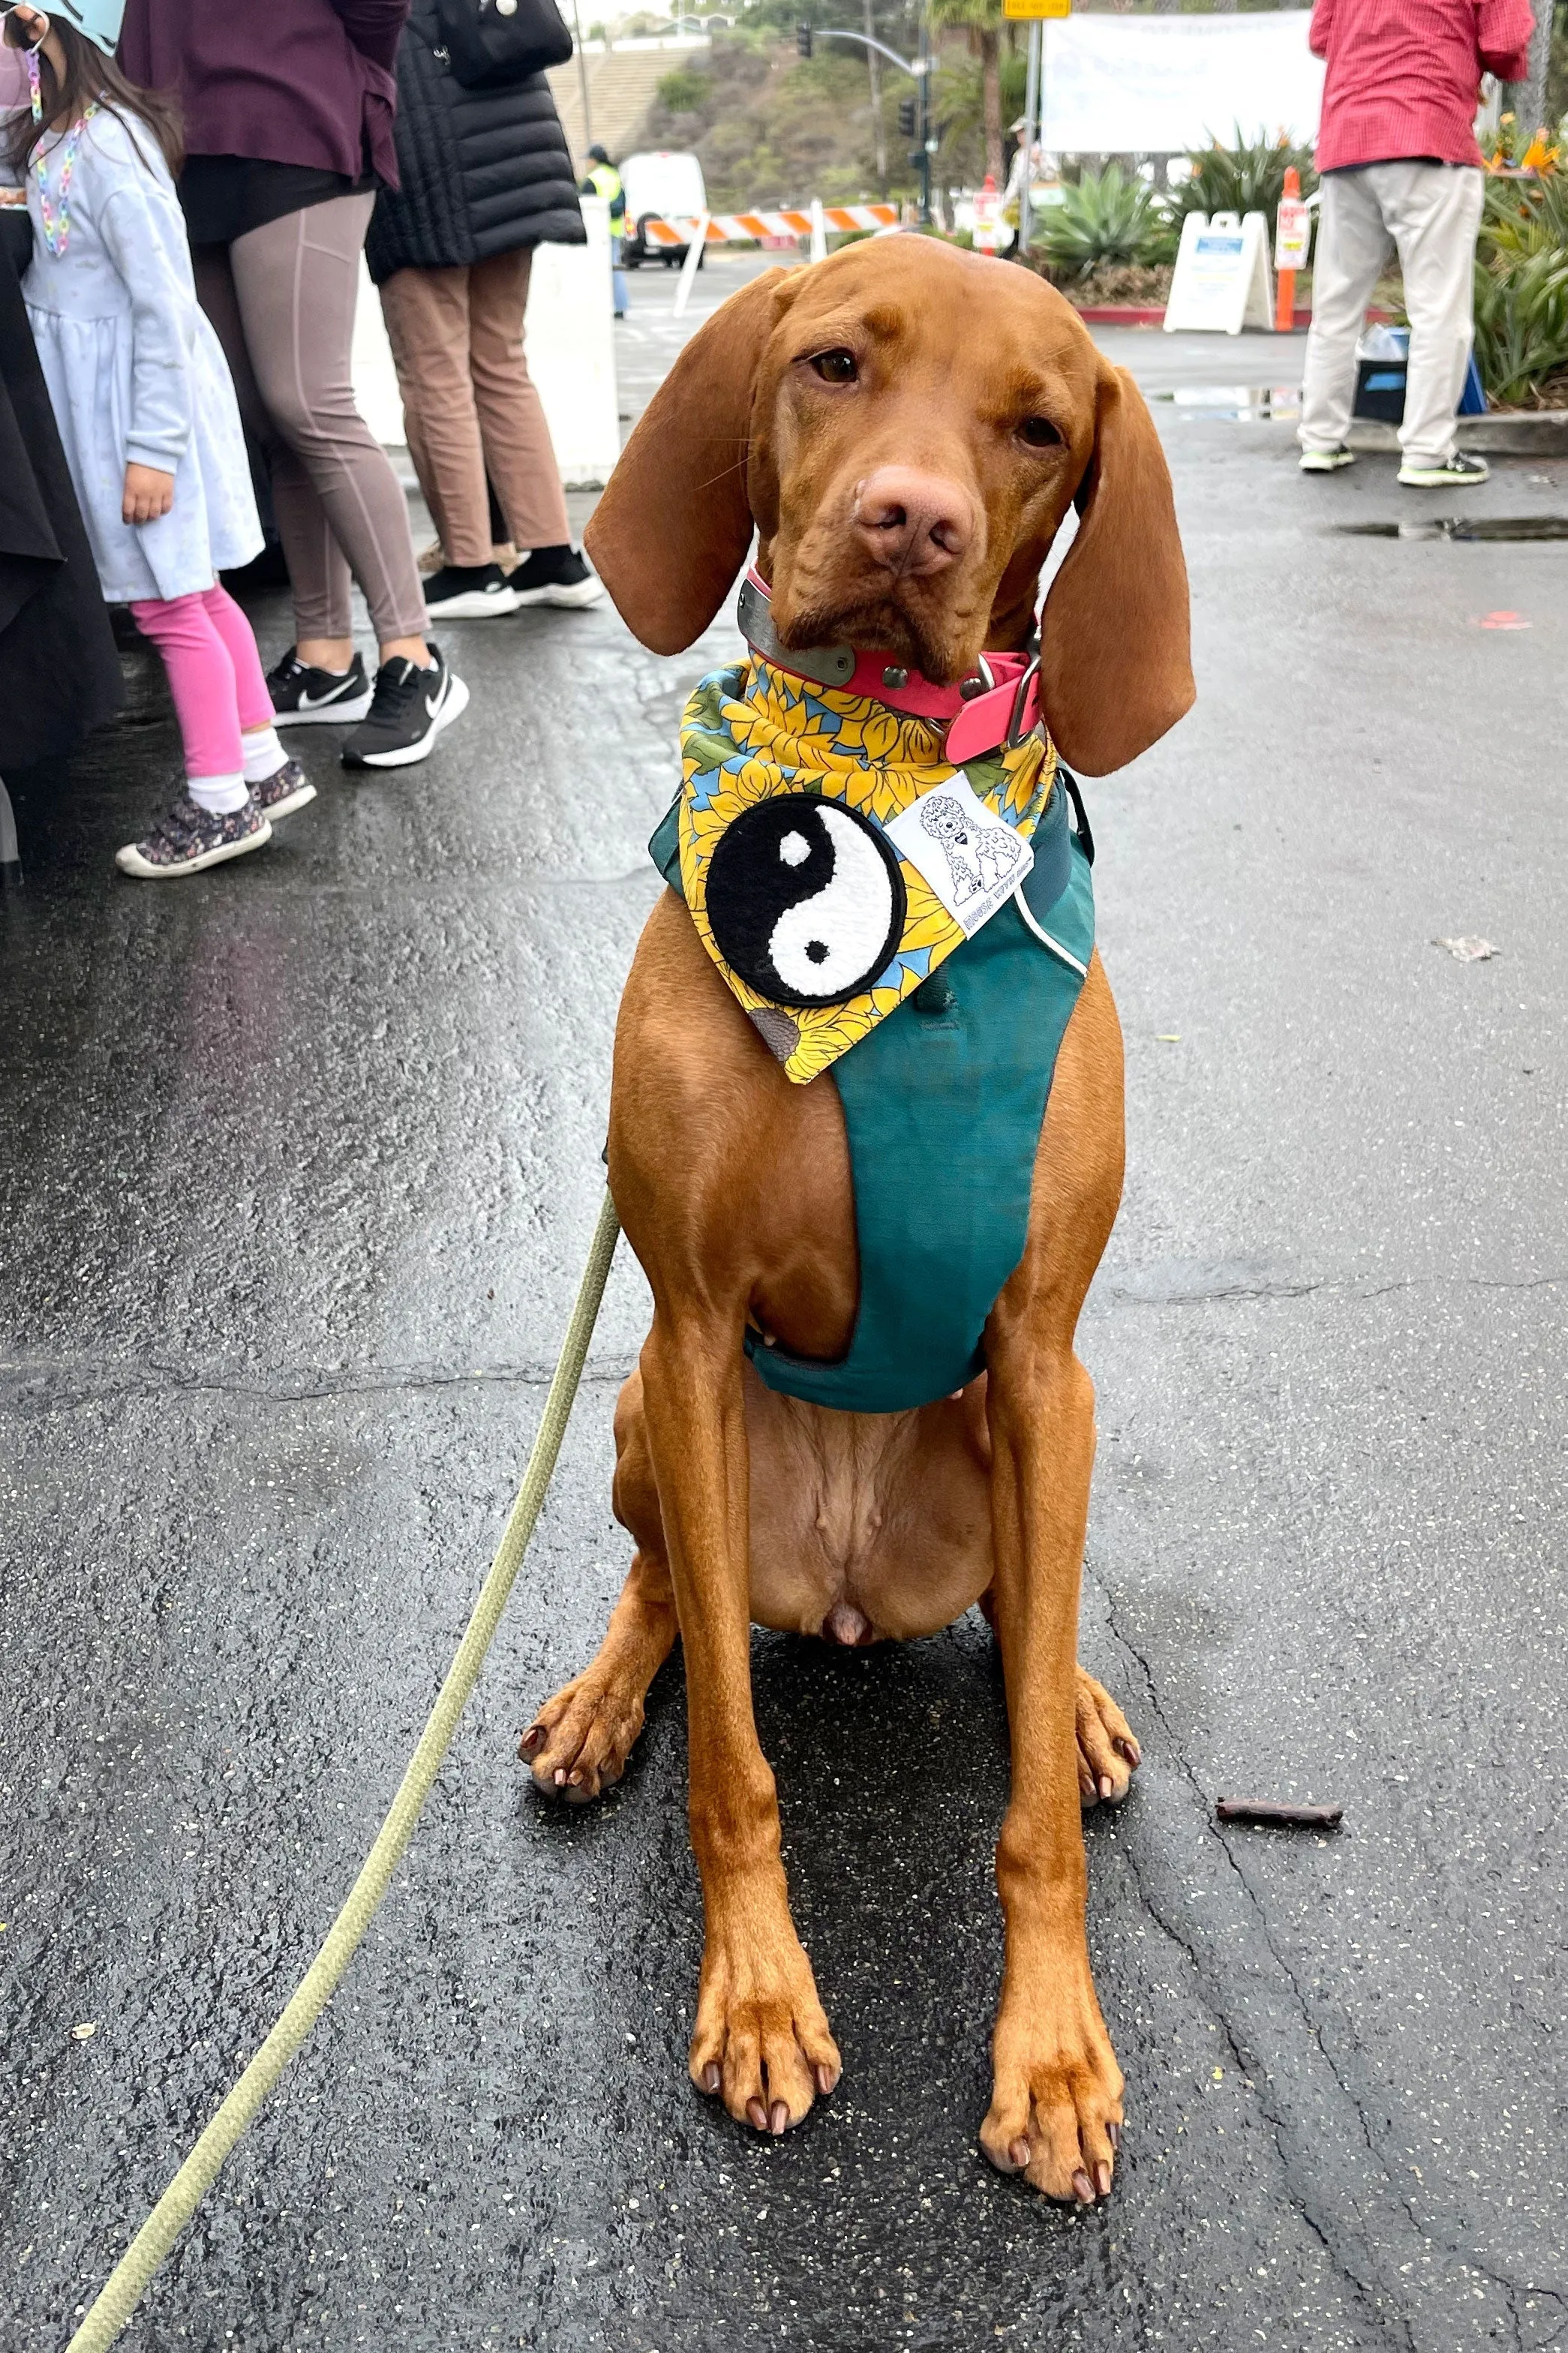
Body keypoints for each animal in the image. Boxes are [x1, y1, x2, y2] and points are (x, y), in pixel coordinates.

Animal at [518, 239, 1191, 2202]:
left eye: (1037, 429)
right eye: (831, 365)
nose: (911, 522)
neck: (884, 776)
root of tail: (834, 1592)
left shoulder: (1045, 1356)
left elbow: (1029, 1798)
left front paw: (1051, 2053)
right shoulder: (684, 1328)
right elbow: (733, 1773)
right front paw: (755, 1998)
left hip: (1008, 1441)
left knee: (1026, 1624)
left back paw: (1084, 1700)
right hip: (644, 1422)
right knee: (669, 1587)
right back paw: (605, 1697)